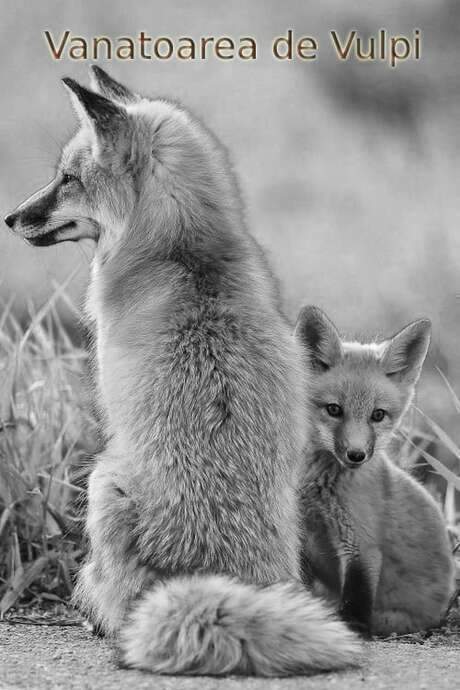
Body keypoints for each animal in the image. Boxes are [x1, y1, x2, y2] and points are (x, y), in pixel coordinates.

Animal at [4, 68, 360, 675]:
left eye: (68, 179)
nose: (10, 218)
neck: (189, 257)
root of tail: (213, 573)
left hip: (102, 481)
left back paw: (102, 624)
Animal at [294, 305, 456, 637]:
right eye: (334, 409)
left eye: (377, 415)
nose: (356, 455)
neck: (322, 490)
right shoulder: (303, 535)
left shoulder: (362, 544)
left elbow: (355, 604)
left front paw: (349, 632)